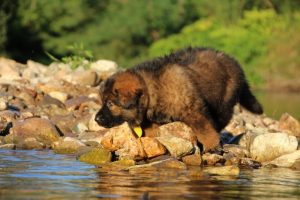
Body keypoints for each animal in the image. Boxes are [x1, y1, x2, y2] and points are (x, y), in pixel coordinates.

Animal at [94, 47, 262, 150]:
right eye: (103, 102)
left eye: (110, 103)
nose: (96, 119)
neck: (151, 89)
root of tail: (233, 62)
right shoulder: (149, 122)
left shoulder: (194, 111)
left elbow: (206, 130)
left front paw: (212, 145)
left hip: (223, 103)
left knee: (218, 121)